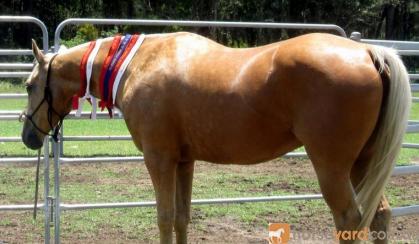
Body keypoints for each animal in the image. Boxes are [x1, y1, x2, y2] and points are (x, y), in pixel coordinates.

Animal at [21, 33, 412, 244]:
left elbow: (164, 216)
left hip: (332, 169)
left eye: (28, 85)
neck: (139, 64)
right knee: (379, 215)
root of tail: (368, 52)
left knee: (349, 219)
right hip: (362, 164)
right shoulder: (184, 161)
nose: (28, 136)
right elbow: (182, 217)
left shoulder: (159, 159)